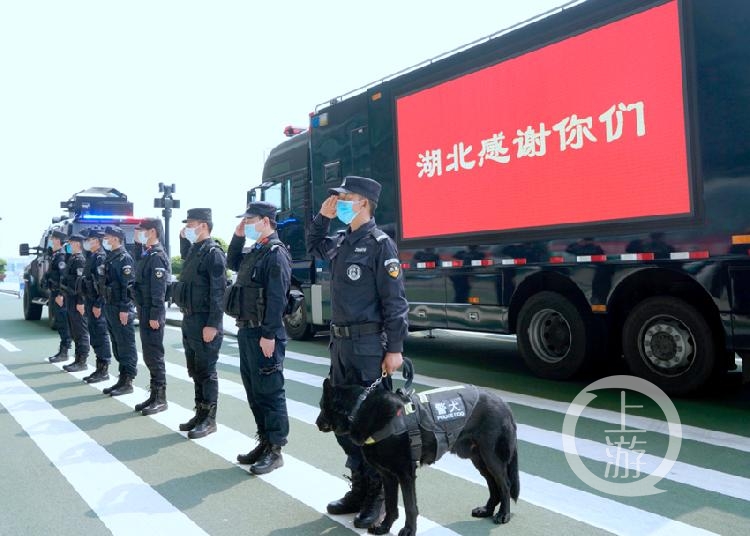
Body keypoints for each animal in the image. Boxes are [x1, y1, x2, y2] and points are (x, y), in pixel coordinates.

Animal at [314, 376, 520, 536]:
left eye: (321, 405)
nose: (316, 423)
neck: (360, 409)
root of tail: (504, 404)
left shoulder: (406, 474)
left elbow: (410, 506)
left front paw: (408, 530)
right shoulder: (388, 476)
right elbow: (391, 504)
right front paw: (384, 527)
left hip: (490, 456)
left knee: (505, 484)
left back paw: (503, 515)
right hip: (478, 458)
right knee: (493, 484)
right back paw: (487, 510)